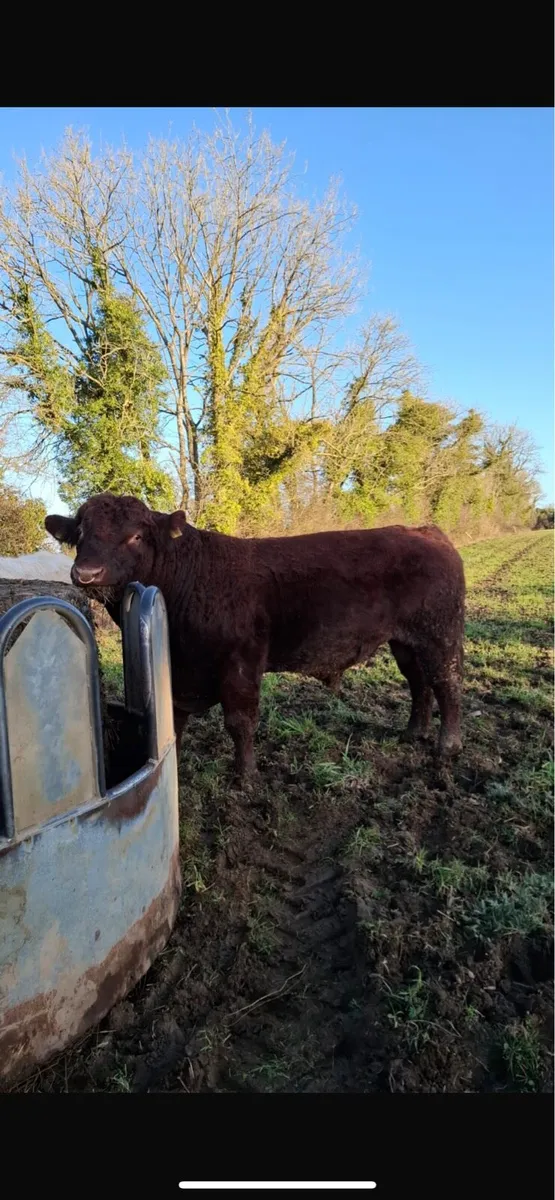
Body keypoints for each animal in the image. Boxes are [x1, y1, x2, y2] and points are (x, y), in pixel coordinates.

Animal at [45, 494, 466, 782]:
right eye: (80, 534)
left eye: (134, 536)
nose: (86, 573)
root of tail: (426, 531)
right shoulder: (180, 673)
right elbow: (175, 721)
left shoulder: (242, 662)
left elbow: (240, 722)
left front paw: (246, 776)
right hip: (406, 642)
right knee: (419, 683)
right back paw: (413, 732)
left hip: (439, 635)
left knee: (447, 684)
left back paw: (447, 747)